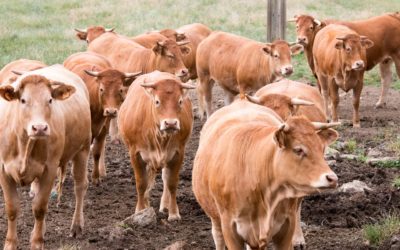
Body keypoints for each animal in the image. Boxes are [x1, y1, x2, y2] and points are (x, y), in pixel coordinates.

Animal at [0, 65, 91, 250]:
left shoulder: (49, 169)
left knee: (80, 186)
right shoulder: (3, 170)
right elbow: (12, 208)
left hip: (83, 149)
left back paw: (76, 226)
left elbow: (40, 208)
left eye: (49, 100)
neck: (24, 143)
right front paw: (11, 244)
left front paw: (37, 242)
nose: (40, 128)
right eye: (23, 100)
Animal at [63, 51, 141, 188]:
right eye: (101, 89)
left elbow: (97, 152)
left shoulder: (103, 129)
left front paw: (96, 177)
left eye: (120, 89)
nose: (111, 111)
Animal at [118, 71, 195, 221]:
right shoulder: (135, 154)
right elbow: (141, 183)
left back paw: (164, 206)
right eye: (157, 101)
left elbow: (171, 183)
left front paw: (173, 213)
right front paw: (140, 210)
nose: (170, 123)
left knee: (165, 178)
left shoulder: (178, 153)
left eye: (180, 101)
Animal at [192, 99, 340, 250]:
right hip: (215, 217)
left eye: (321, 148)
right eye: (298, 150)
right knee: (218, 236)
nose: (332, 178)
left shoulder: (287, 226)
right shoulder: (230, 228)